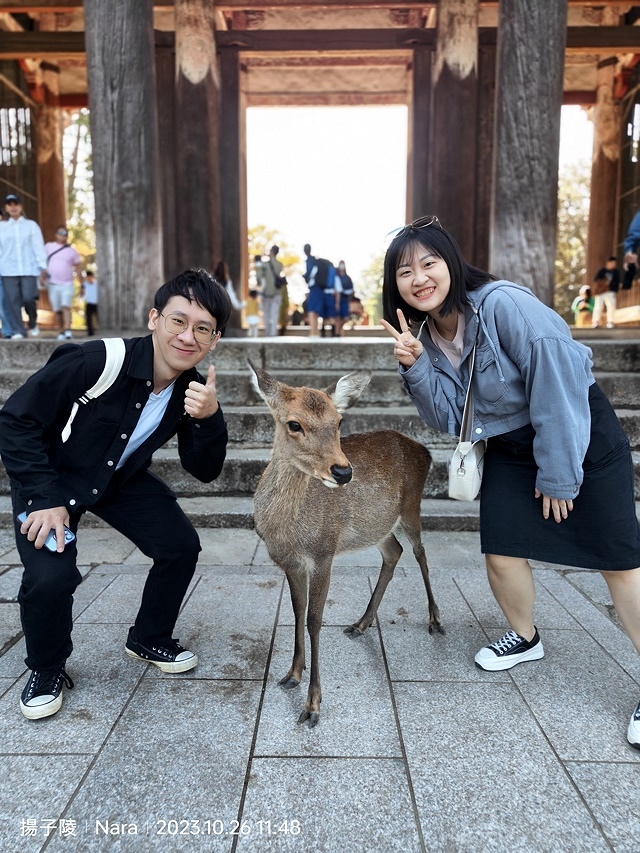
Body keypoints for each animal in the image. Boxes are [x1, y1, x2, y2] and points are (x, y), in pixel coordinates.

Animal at [250, 360, 444, 724]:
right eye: (293, 423)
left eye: (339, 421)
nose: (343, 472)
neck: (288, 532)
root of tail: (424, 451)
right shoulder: (291, 563)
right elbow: (297, 612)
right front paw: (291, 675)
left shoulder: (324, 552)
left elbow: (314, 620)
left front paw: (312, 705)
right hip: (377, 526)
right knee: (394, 552)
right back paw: (361, 623)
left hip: (412, 506)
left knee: (421, 552)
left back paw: (435, 619)